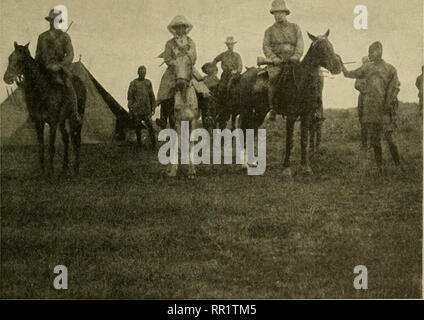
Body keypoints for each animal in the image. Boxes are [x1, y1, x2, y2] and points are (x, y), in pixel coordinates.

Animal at [238, 31, 342, 176]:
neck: (301, 81)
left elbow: (304, 140)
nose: (337, 66)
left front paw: (306, 167)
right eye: (320, 48)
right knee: (245, 129)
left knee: (252, 129)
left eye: (330, 45)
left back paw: (252, 162)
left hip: (260, 111)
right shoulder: (291, 116)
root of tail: (245, 74)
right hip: (247, 109)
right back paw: (244, 164)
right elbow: (289, 141)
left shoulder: (306, 116)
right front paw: (286, 168)